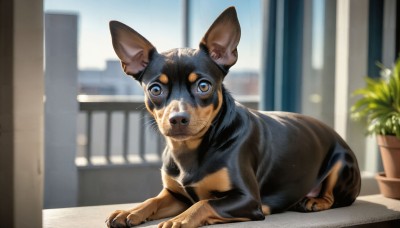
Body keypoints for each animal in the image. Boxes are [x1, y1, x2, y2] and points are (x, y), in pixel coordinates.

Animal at [104, 6, 360, 227]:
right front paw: (130, 211)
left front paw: (181, 220)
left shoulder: (247, 199)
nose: (178, 118)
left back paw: (313, 201)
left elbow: (204, 203)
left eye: (204, 86)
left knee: (334, 198)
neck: (190, 150)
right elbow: (153, 200)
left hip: (341, 163)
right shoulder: (176, 195)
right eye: (155, 90)